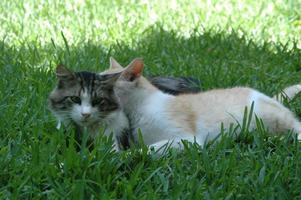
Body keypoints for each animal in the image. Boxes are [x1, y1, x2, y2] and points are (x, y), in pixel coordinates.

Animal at [102, 57, 300, 153]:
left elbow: (150, 149)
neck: (139, 109)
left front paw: (128, 156)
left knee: (296, 126)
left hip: (269, 117)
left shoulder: (188, 140)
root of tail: (267, 96)